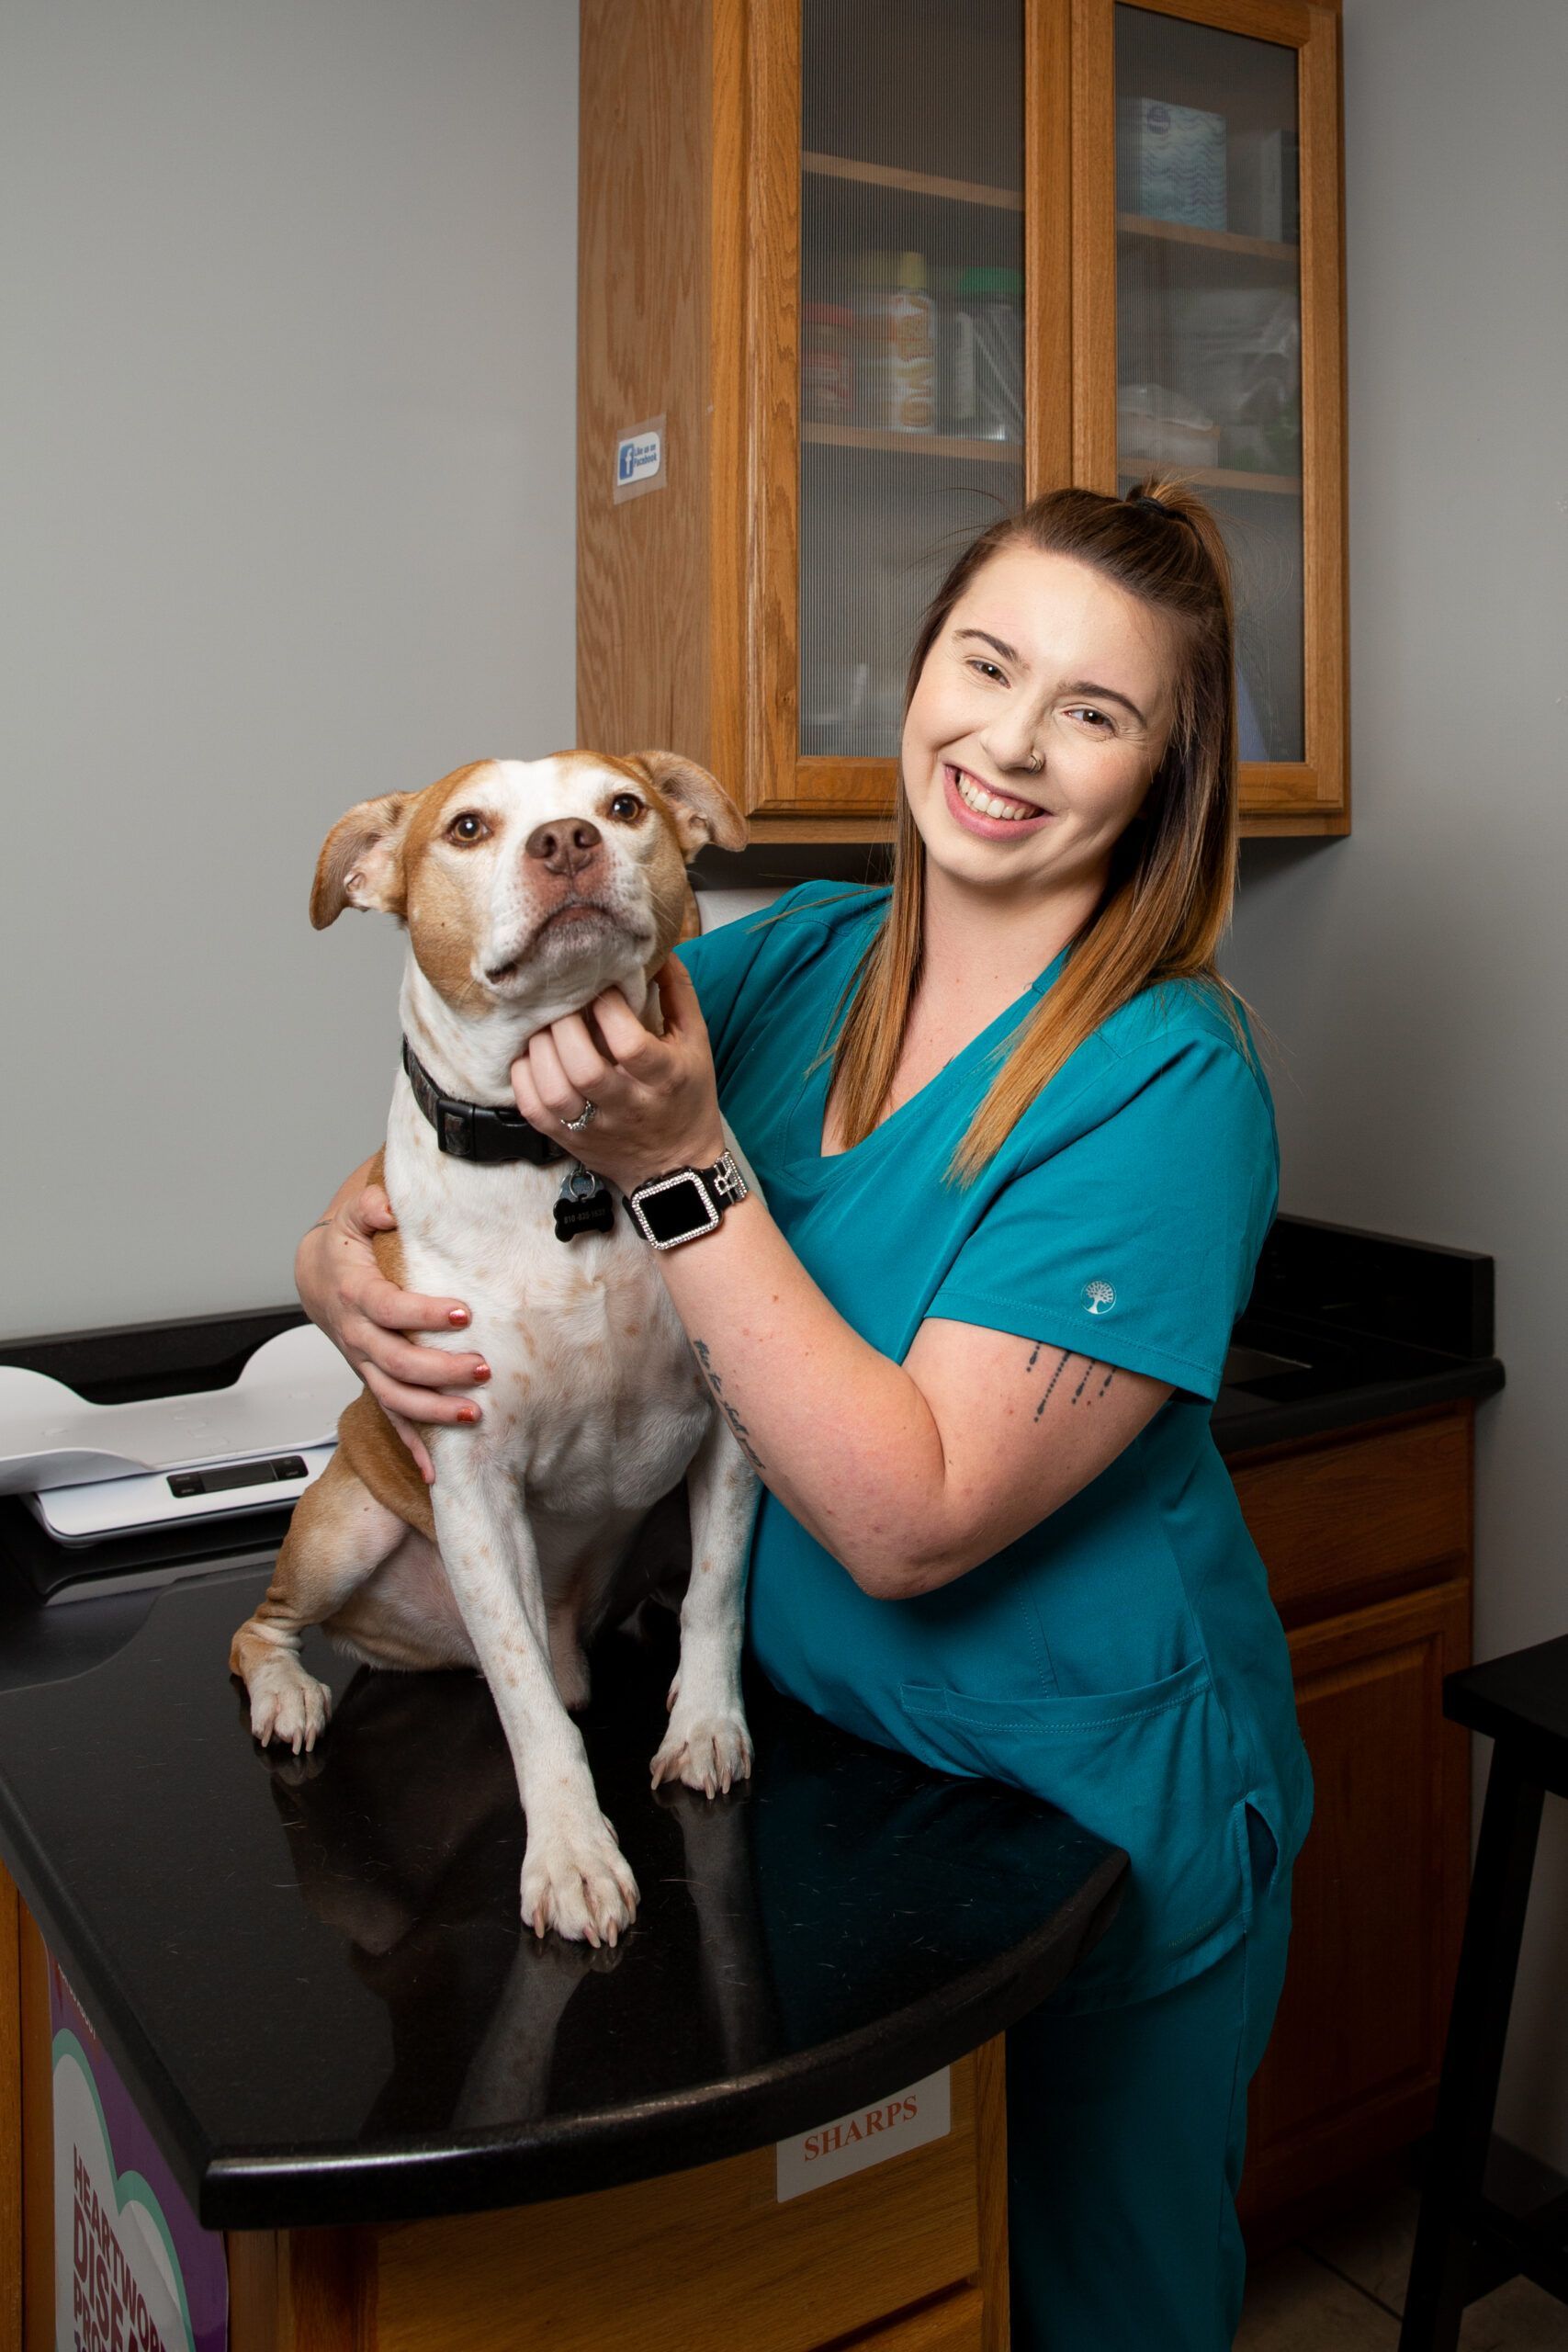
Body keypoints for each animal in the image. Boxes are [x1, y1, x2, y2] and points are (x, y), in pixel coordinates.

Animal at [234, 757, 766, 1947]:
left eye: (624, 806)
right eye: (469, 828)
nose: (566, 841)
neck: (562, 1158)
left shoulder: (732, 1431)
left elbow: (716, 1595)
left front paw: (705, 1724)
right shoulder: (474, 1487)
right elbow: (522, 1695)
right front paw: (572, 1850)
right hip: (344, 1521)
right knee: (261, 1627)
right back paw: (288, 1693)